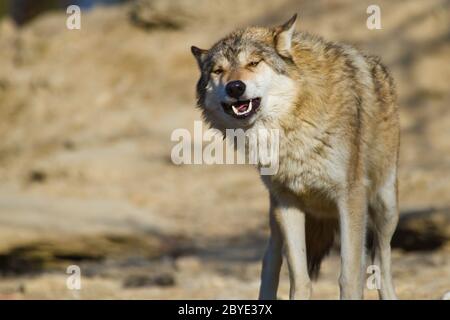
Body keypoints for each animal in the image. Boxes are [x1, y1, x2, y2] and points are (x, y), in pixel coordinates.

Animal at [192, 14, 400, 300]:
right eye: (218, 71)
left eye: (253, 63)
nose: (235, 87)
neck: (290, 126)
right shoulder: (287, 203)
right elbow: (299, 278)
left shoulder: (351, 197)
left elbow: (349, 276)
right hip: (275, 219)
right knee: (270, 261)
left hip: (385, 208)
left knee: (381, 260)